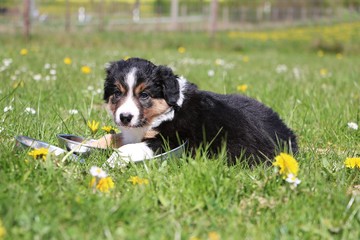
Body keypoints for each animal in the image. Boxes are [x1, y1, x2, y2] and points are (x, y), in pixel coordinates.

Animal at [102, 57, 298, 167]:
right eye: (117, 93)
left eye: (144, 95)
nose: (125, 117)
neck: (166, 112)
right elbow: (110, 137)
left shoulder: (175, 141)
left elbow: (129, 147)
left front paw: (110, 162)